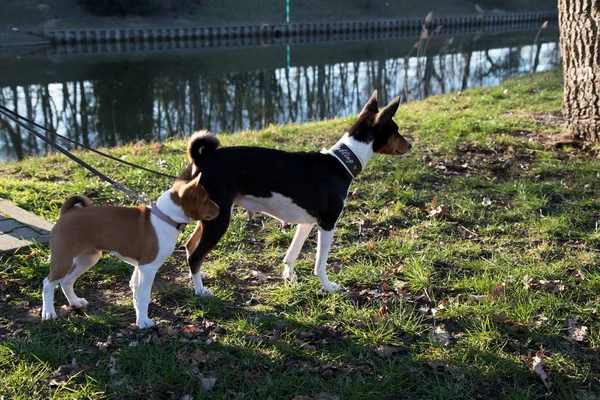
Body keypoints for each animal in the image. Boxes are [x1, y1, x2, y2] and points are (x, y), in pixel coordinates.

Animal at [42, 174, 220, 328]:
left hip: (88, 258)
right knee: (48, 284)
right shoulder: (148, 267)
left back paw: (75, 302)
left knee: (66, 281)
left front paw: (139, 314)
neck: (164, 217)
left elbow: (136, 290)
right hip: (64, 260)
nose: (219, 209)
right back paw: (49, 313)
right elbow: (143, 295)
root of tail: (67, 212)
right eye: (205, 200)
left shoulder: (140, 266)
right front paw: (143, 322)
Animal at [184, 91, 408, 294]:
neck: (341, 163)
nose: (410, 144)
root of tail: (202, 159)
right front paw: (327, 287)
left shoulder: (307, 222)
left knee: (189, 247)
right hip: (219, 220)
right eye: (396, 130)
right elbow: (320, 264)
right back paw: (200, 291)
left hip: (208, 216)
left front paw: (289, 277)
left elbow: (291, 254)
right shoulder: (327, 224)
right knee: (195, 256)